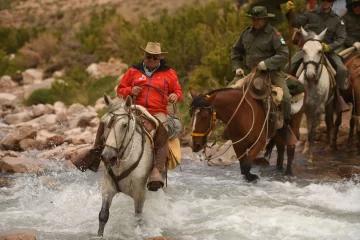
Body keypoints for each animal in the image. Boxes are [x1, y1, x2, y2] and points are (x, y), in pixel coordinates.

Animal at [98, 94, 155, 236]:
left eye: (124, 125)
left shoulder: (140, 193)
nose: (108, 156)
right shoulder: (108, 187)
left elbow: (138, 218)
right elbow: (103, 215)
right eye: (104, 123)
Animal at [296, 27, 336, 163]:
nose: (310, 75)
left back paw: (328, 146)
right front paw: (307, 151)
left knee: (329, 122)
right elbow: (308, 130)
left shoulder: (319, 109)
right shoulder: (305, 108)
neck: (311, 84)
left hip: (329, 106)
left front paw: (310, 158)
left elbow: (312, 132)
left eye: (320, 51)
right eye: (303, 50)